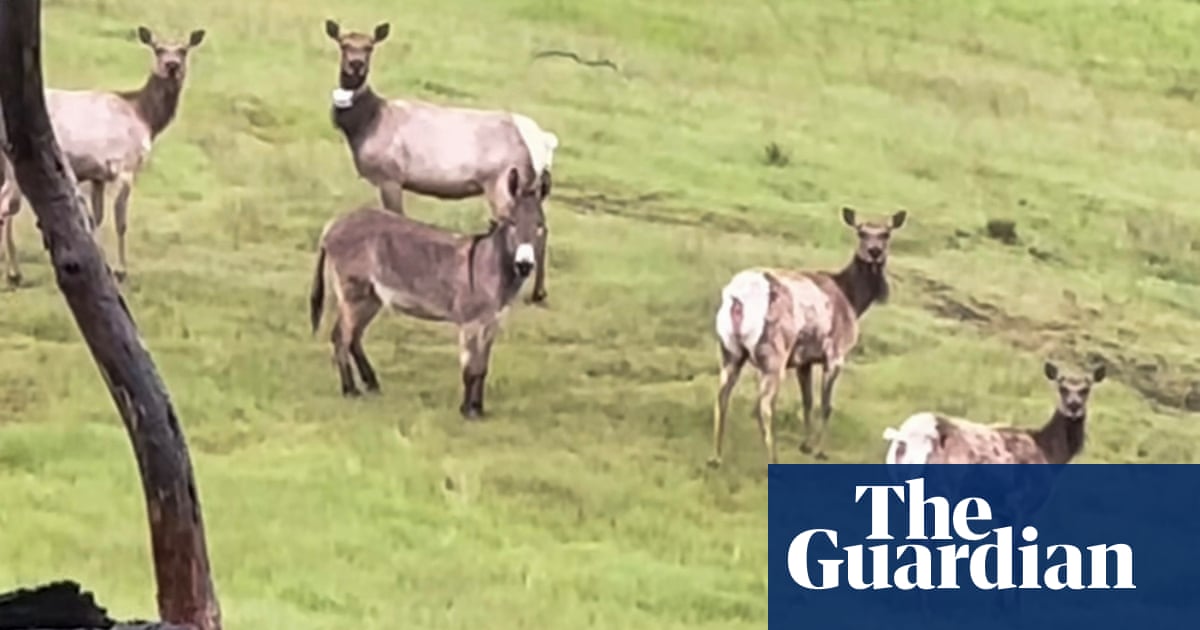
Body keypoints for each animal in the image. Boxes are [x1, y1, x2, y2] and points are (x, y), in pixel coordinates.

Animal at [0, 25, 205, 286]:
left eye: (183, 50)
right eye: (158, 49)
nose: (172, 66)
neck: (145, 118)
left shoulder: (97, 175)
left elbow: (96, 219)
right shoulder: (125, 166)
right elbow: (120, 221)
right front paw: (120, 271)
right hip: (15, 164)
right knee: (5, 207)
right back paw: (13, 273)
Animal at [308, 166, 549, 418]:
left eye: (540, 225)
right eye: (512, 223)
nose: (524, 265)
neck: (492, 265)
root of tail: (332, 225)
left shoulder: (491, 323)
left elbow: (482, 368)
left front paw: (478, 409)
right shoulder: (471, 323)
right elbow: (470, 369)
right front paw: (467, 411)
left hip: (370, 298)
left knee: (353, 337)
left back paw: (371, 383)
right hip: (354, 295)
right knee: (341, 337)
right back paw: (350, 390)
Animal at [323, 19, 559, 305]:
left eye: (369, 47)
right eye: (344, 44)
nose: (356, 64)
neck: (366, 124)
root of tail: (545, 141)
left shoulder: (391, 175)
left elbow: (397, 216)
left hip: (503, 182)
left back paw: (535, 290)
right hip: (529, 185)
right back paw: (538, 291)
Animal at [708, 207, 907, 467]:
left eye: (886, 233)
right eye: (861, 232)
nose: (874, 252)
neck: (853, 299)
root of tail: (737, 299)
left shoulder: (804, 360)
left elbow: (807, 401)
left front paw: (805, 445)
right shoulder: (835, 354)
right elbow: (826, 405)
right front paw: (819, 451)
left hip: (729, 350)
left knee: (721, 396)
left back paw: (715, 457)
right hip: (773, 355)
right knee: (764, 405)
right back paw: (773, 458)